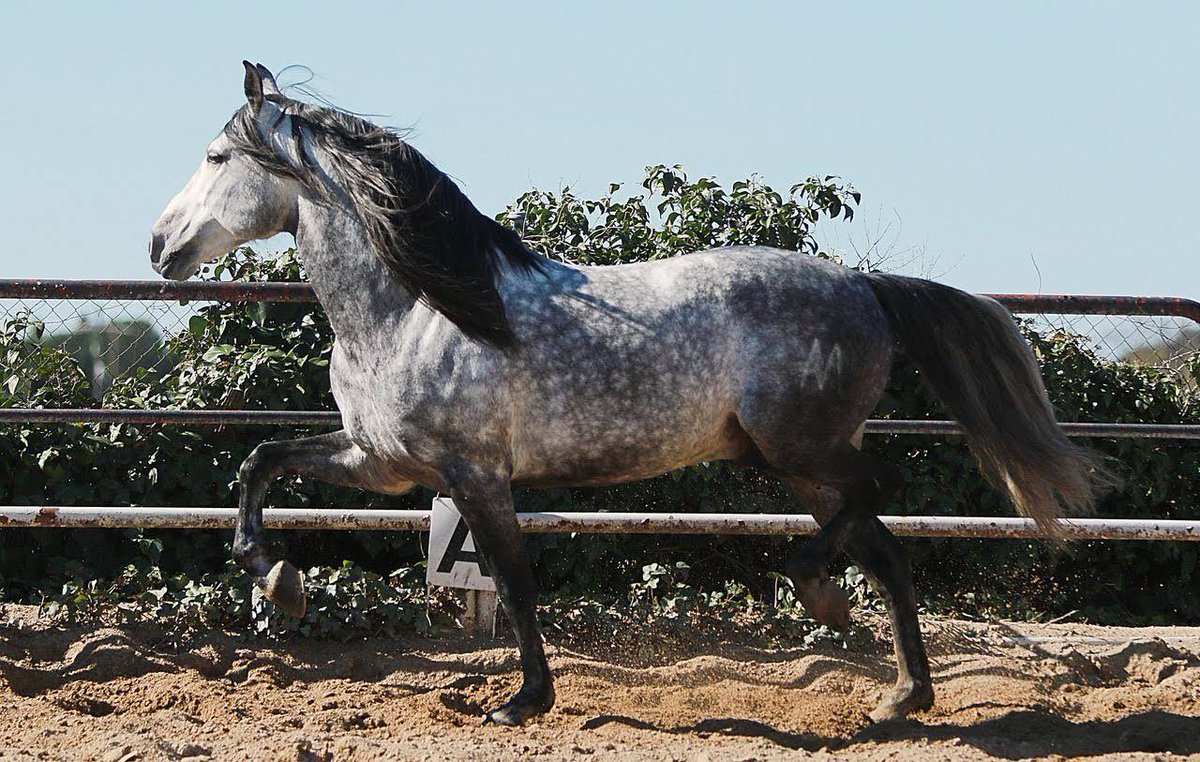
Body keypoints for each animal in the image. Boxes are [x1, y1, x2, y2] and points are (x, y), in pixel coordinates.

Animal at [149, 62, 1111, 726]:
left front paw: (523, 700)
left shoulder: (473, 474)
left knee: (883, 494)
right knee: (882, 545)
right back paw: (898, 694)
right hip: (799, 463)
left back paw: (818, 595)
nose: (159, 246)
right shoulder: (383, 464)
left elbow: (516, 580)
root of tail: (864, 285)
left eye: (215, 155)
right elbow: (259, 462)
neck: (414, 307)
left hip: (799, 445)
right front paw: (280, 583)